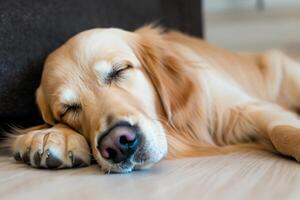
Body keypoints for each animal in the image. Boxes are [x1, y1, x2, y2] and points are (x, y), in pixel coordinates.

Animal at [5, 25, 300, 173]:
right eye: (68, 109)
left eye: (119, 71)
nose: (118, 144)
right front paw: (51, 135)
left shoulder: (244, 109)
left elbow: (280, 131)